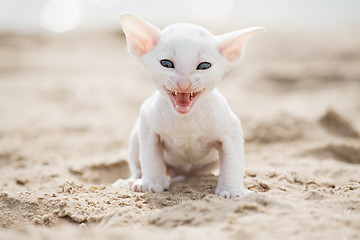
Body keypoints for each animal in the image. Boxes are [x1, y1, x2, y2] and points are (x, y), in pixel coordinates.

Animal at [113, 12, 264, 198]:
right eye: (166, 63)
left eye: (204, 66)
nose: (184, 84)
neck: (185, 118)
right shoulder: (147, 123)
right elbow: (150, 156)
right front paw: (151, 183)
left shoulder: (231, 128)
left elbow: (233, 162)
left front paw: (232, 190)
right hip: (135, 140)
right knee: (136, 164)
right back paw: (132, 180)